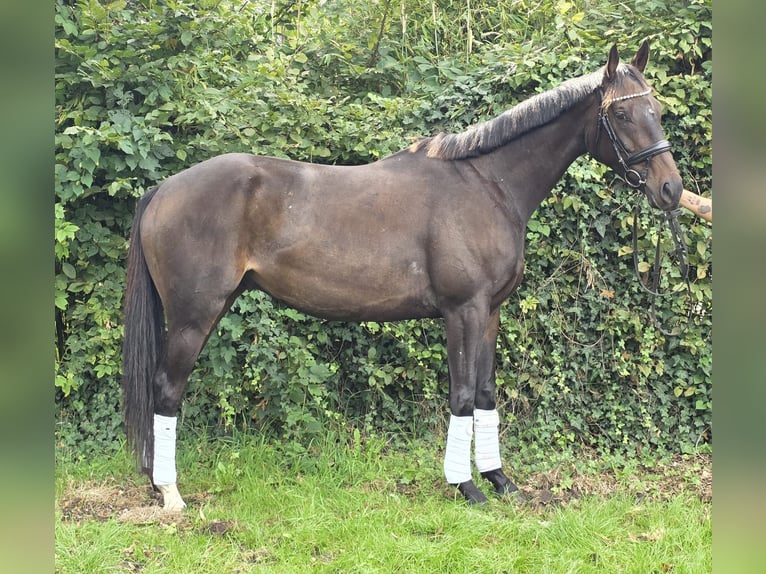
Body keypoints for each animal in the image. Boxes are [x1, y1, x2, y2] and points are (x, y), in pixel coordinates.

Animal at [122, 41, 682, 510]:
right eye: (622, 113)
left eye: (657, 111)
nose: (671, 189)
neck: (488, 184)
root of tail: (163, 189)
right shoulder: (463, 311)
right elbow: (461, 396)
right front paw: (467, 486)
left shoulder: (490, 312)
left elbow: (485, 393)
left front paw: (500, 480)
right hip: (194, 316)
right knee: (167, 390)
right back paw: (171, 494)